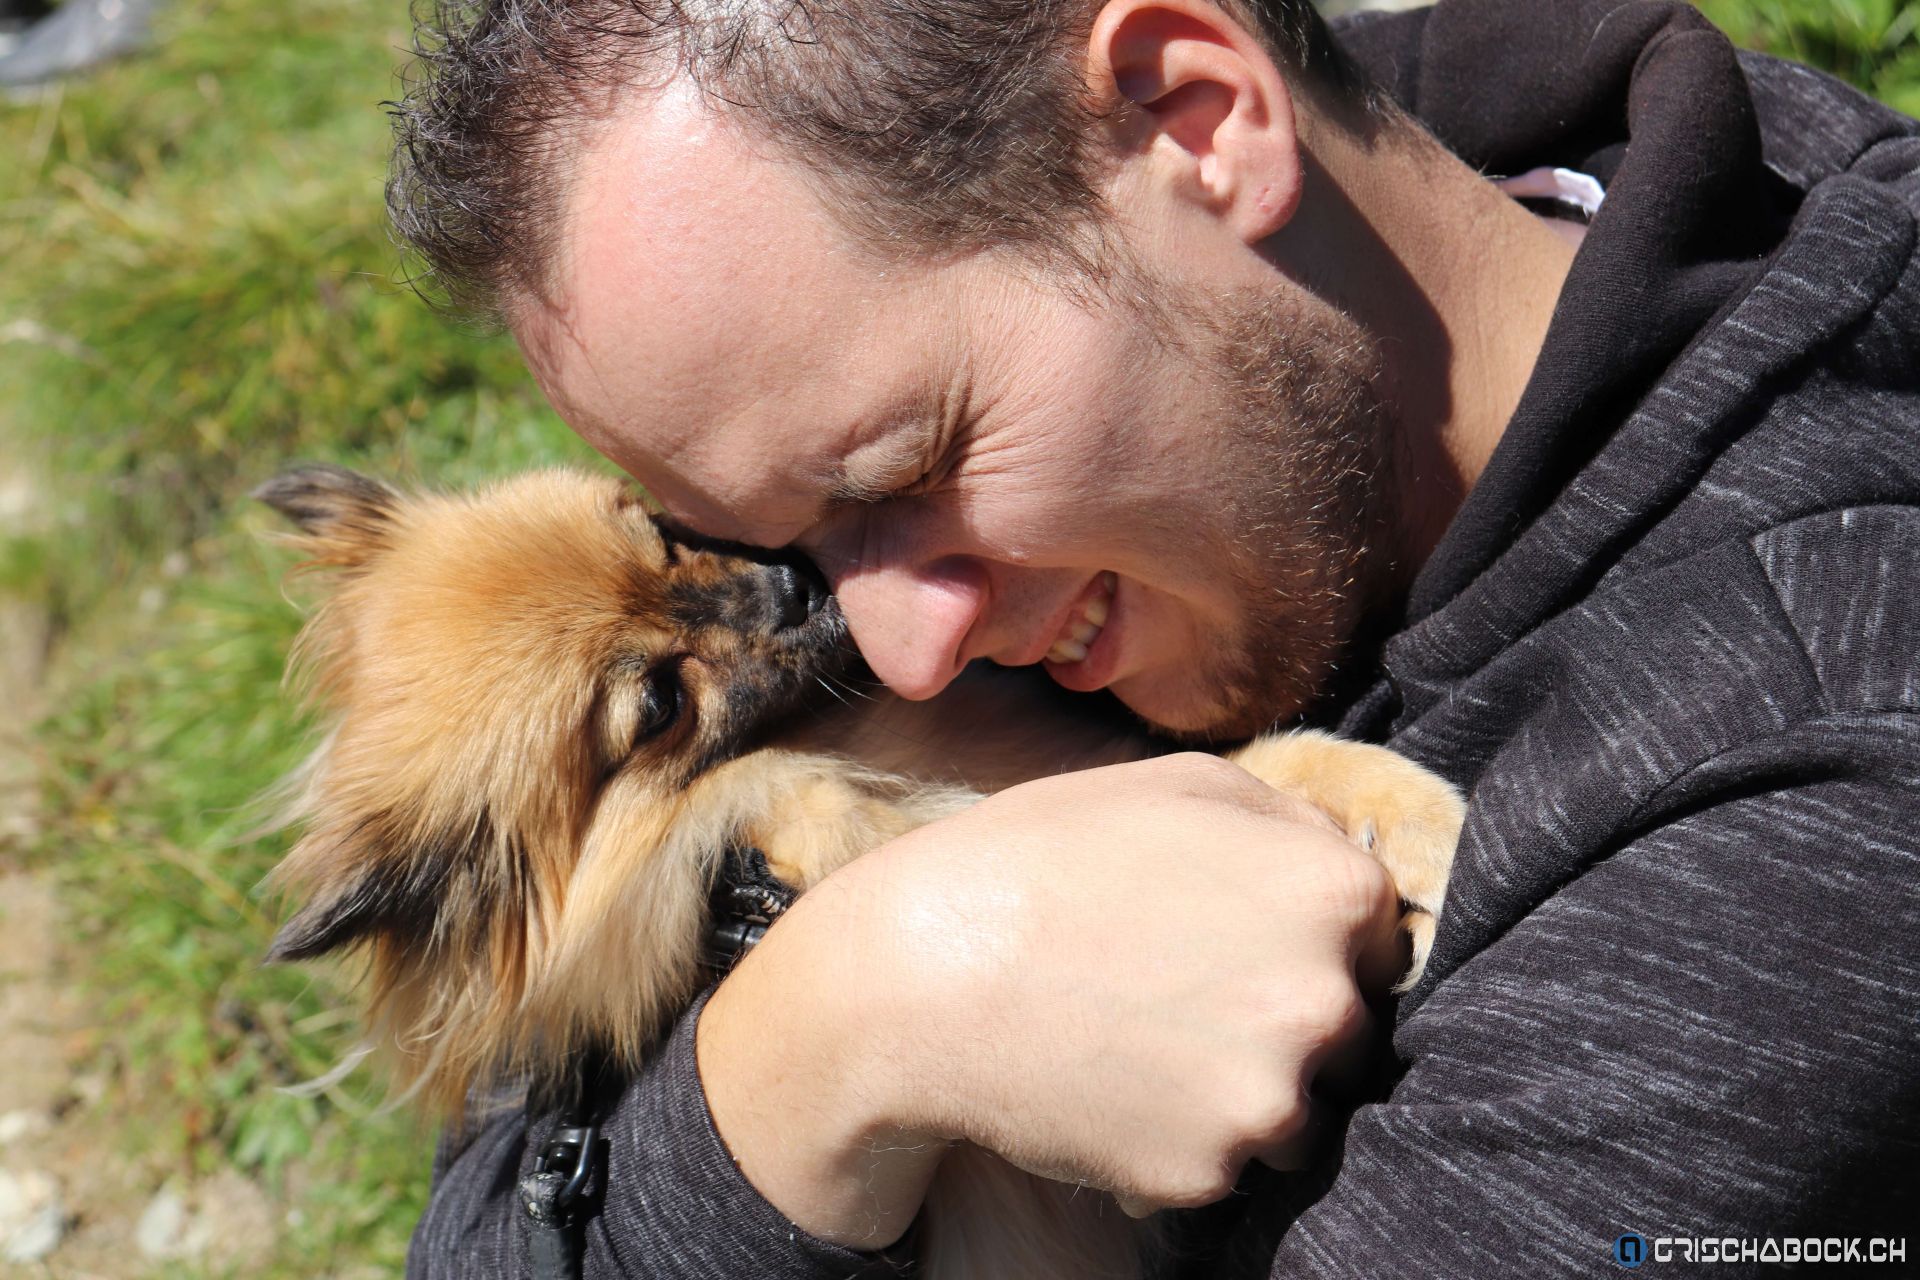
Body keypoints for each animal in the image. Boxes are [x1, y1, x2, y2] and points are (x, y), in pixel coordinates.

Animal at [255, 466, 1451, 1274]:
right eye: (660, 702)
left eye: (662, 533)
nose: (793, 581)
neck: (889, 745)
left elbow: (1278, 758)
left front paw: (1425, 824)